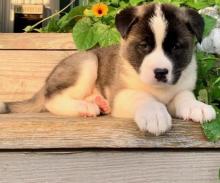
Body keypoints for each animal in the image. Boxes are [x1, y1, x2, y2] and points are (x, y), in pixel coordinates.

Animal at [0, 2, 217, 134]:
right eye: (144, 45)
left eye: (176, 47)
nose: (160, 72)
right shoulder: (120, 95)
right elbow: (141, 96)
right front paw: (154, 113)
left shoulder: (182, 85)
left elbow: (184, 96)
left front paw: (197, 106)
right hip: (88, 62)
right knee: (51, 99)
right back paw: (85, 107)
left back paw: (99, 102)